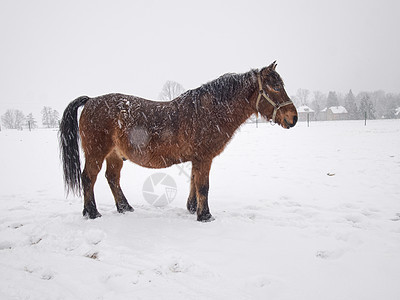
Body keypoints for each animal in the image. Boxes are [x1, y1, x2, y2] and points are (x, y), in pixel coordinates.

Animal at [58, 61, 296, 220]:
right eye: (275, 86)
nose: (293, 118)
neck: (210, 111)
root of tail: (90, 101)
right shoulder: (204, 157)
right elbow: (203, 186)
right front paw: (205, 215)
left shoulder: (197, 159)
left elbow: (194, 182)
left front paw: (192, 208)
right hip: (96, 153)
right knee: (88, 178)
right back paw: (92, 213)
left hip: (114, 155)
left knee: (112, 178)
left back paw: (125, 208)